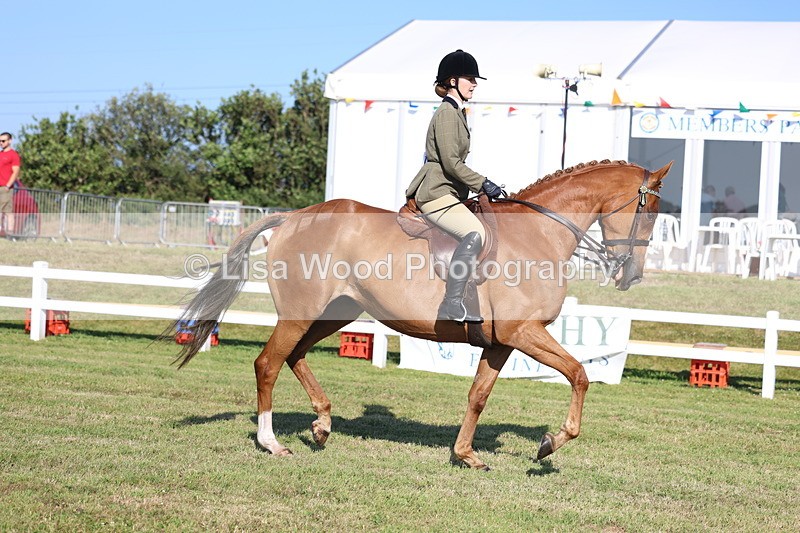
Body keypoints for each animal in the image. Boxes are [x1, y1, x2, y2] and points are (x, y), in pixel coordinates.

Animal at [171, 159, 672, 470]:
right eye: (649, 210)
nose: (632, 275)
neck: (540, 233)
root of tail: (294, 216)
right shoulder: (523, 332)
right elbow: (579, 375)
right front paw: (550, 444)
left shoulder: (501, 342)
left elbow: (478, 395)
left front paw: (466, 455)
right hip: (301, 313)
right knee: (268, 363)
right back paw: (272, 442)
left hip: (336, 312)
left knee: (294, 357)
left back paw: (322, 425)